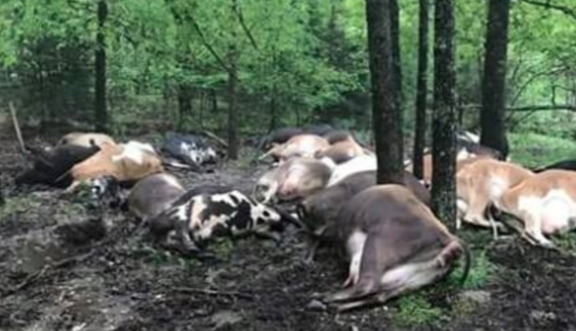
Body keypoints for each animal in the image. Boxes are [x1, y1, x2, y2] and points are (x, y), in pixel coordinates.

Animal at [316, 185, 468, 312]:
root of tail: (449, 238)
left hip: (377, 243)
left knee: (368, 284)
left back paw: (325, 297)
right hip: (413, 281)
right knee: (379, 296)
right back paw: (336, 306)